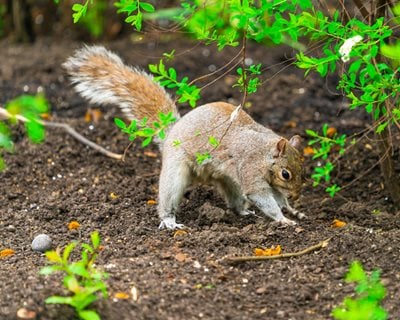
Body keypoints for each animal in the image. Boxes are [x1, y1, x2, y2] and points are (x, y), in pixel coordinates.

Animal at [64, 45, 304, 230]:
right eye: (285, 174)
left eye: (302, 168)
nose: (296, 195)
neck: (265, 152)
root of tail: (170, 134)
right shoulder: (251, 170)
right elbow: (263, 197)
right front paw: (283, 219)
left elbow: (277, 197)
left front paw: (290, 209)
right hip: (176, 170)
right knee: (168, 196)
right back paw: (169, 221)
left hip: (229, 180)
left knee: (234, 199)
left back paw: (243, 212)